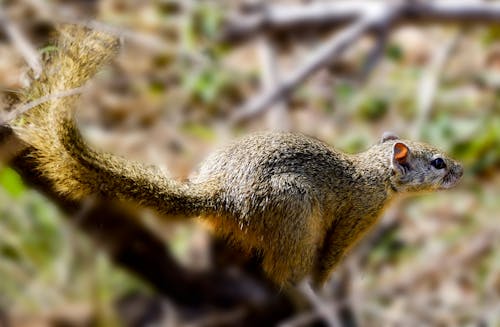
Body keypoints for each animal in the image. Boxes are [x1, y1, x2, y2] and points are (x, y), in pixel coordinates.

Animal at [9, 26, 462, 288]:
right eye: (437, 162)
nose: (461, 169)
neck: (373, 173)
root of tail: (218, 194)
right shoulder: (356, 216)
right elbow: (331, 257)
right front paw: (326, 284)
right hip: (294, 213)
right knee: (283, 270)